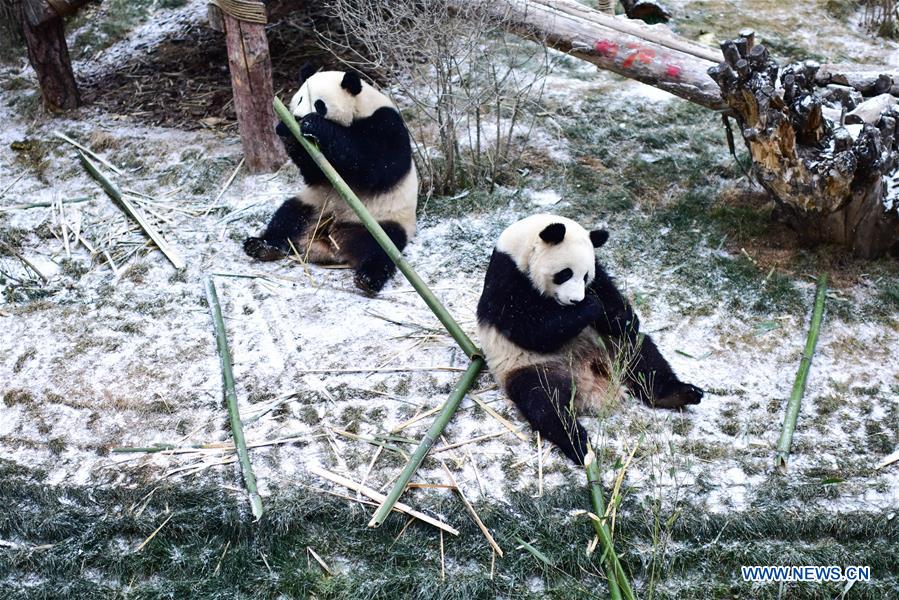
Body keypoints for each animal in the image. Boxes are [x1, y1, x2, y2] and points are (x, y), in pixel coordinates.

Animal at [243, 65, 418, 296]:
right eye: (300, 98)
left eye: (319, 104)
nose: (297, 117)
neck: (359, 109)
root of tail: (330, 243)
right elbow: (315, 172)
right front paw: (286, 129)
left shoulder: (385, 124)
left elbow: (376, 167)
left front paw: (314, 125)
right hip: (314, 206)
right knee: (288, 217)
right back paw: (262, 247)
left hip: (382, 221)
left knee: (382, 249)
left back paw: (368, 279)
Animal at [474, 216, 708, 464]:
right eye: (564, 273)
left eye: (585, 276)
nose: (576, 300)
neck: (521, 246)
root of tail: (589, 383)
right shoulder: (507, 279)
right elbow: (530, 328)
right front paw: (590, 306)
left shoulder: (598, 271)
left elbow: (611, 298)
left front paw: (622, 318)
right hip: (532, 368)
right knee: (545, 405)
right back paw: (579, 445)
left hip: (613, 347)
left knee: (644, 356)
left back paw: (680, 393)